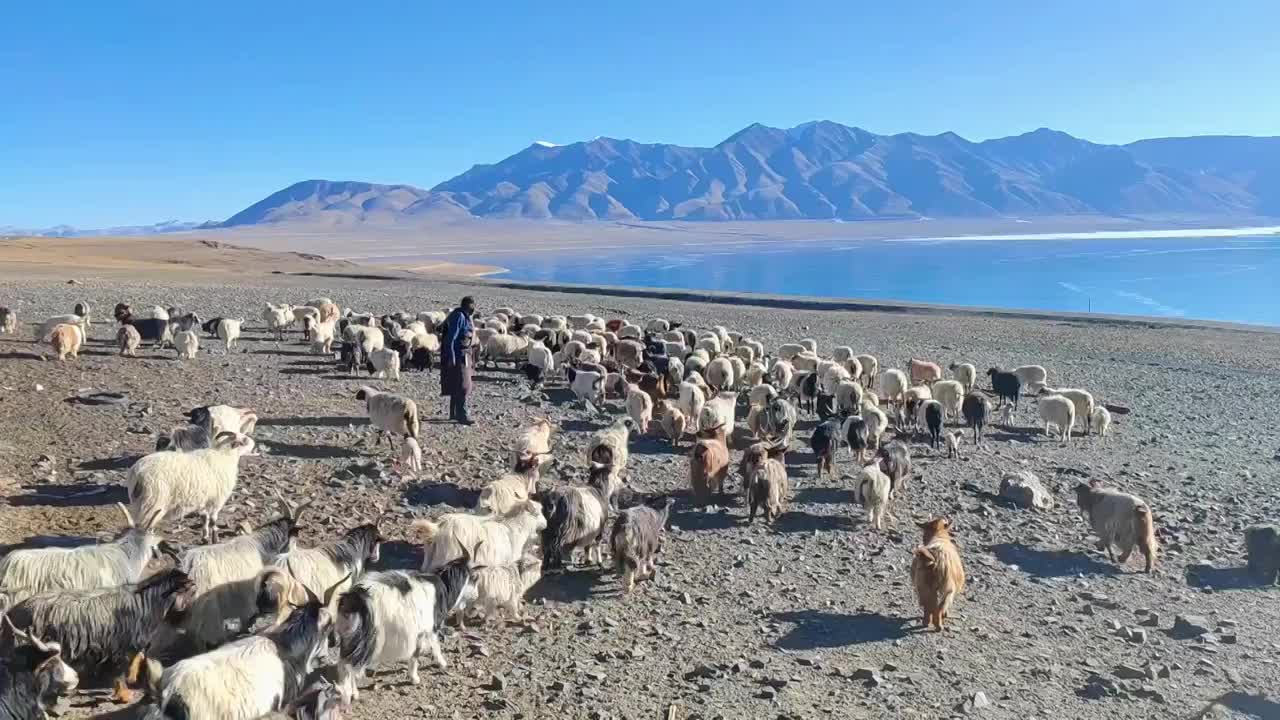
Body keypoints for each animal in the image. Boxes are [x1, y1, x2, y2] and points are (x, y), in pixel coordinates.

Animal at [0, 566, 194, 702]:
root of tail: (14, 611)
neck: (146, 603)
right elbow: (119, 674)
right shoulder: (120, 649)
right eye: (190, 590)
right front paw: (124, 695)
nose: (186, 615)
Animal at [126, 427, 256, 540]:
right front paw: (215, 539)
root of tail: (138, 473)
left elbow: (204, 518)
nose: (254, 443)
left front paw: (205, 537)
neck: (224, 455)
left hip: (138, 501)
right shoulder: (217, 499)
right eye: (244, 440)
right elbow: (213, 520)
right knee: (144, 526)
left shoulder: (204, 499)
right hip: (153, 501)